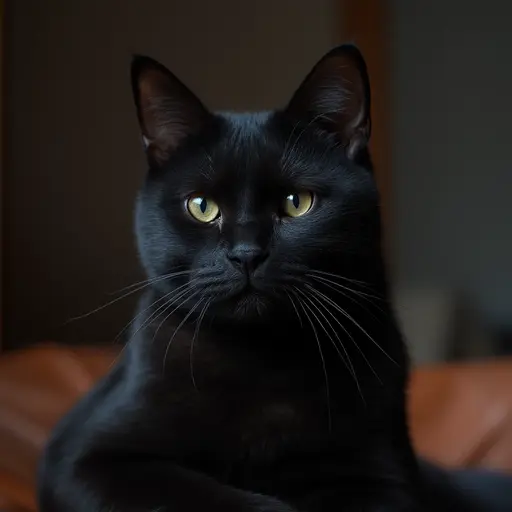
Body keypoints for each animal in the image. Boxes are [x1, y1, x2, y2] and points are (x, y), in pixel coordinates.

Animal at [38, 45, 512, 512]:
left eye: (297, 202)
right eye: (202, 206)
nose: (247, 254)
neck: (263, 359)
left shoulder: (382, 478)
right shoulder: (87, 457)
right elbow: (216, 498)